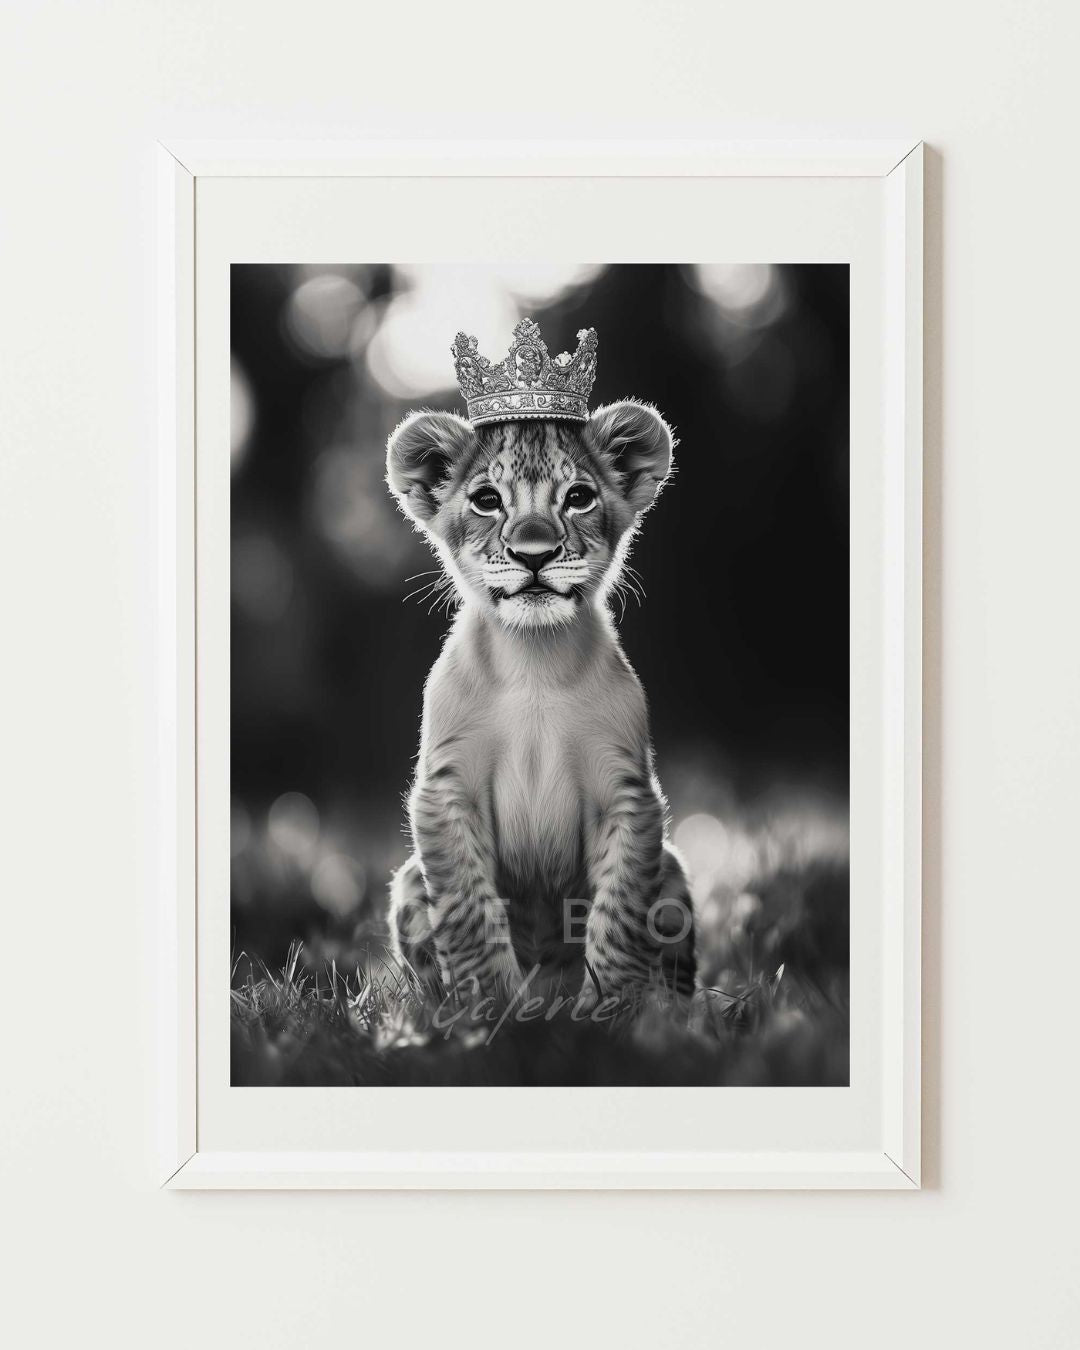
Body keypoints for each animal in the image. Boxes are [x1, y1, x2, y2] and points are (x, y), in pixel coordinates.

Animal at [385, 398, 695, 1007]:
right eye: (487, 500)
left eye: (578, 497)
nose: (534, 554)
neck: (534, 662)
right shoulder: (447, 789)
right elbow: (468, 912)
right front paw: (493, 1007)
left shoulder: (626, 791)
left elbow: (619, 915)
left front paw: (615, 1009)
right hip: (408, 882)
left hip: (671, 874)